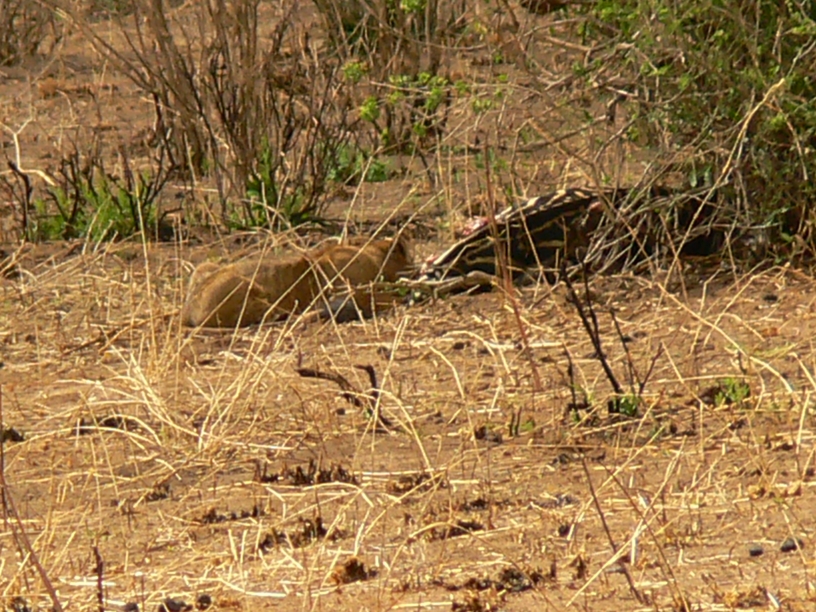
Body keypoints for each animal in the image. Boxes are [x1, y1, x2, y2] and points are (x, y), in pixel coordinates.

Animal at [181, 236, 412, 328]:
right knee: (270, 315)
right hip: (252, 290)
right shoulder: (356, 289)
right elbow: (386, 297)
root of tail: (188, 309)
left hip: (204, 267)